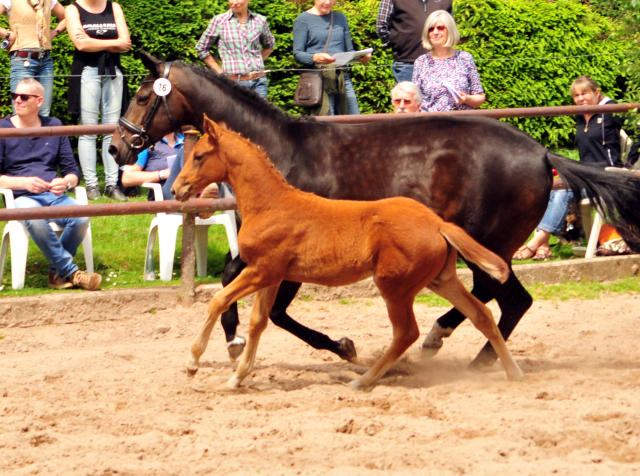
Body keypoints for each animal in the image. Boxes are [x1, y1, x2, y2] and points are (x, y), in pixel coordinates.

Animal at [171, 116, 524, 390]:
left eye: (199, 156)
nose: (176, 188)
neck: (271, 204)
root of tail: (437, 223)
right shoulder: (271, 275)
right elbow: (259, 321)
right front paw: (238, 377)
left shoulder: (261, 270)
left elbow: (218, 300)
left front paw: (192, 362)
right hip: (441, 279)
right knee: (482, 314)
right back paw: (512, 372)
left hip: (394, 286)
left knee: (407, 333)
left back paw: (362, 380)